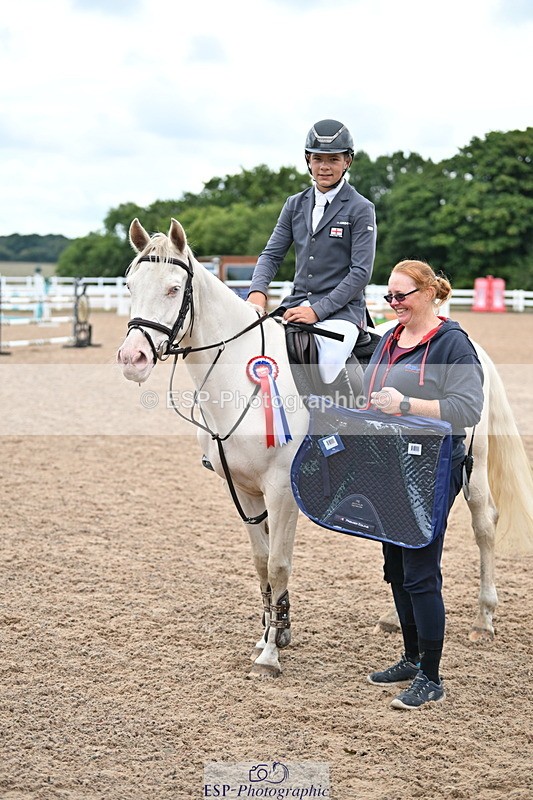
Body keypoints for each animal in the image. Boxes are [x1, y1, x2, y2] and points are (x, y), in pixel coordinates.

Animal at [116, 218, 533, 677]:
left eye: (174, 289)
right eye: (130, 285)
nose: (132, 359)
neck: (241, 375)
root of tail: (476, 349)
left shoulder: (282, 489)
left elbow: (279, 565)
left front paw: (270, 656)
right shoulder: (243, 491)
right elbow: (261, 564)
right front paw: (273, 632)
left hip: (471, 470)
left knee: (484, 525)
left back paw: (484, 620)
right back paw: (394, 618)